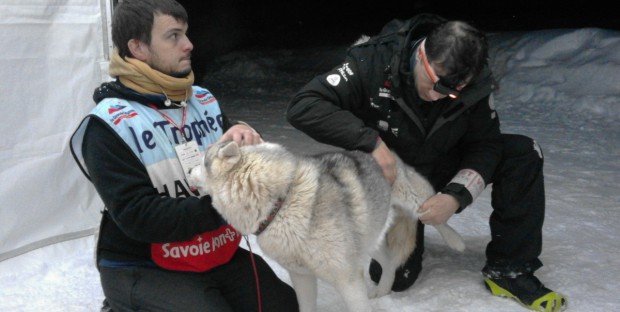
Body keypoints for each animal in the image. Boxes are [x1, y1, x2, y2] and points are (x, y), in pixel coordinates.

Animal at [190, 141, 464, 312]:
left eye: (202, 161)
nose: (189, 169)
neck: (281, 203)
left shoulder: (348, 280)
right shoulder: (302, 277)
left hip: (416, 202)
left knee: (436, 213)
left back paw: (455, 240)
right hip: (366, 240)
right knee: (388, 263)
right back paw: (382, 292)